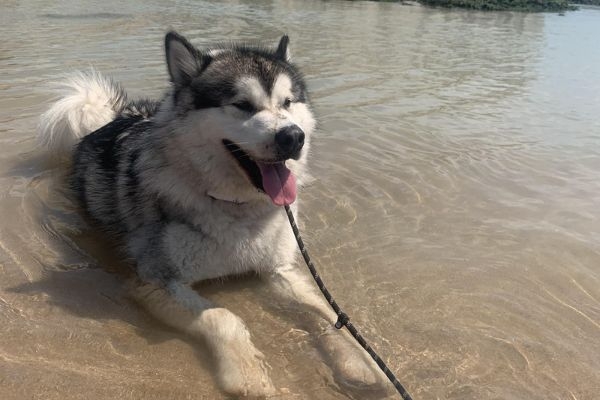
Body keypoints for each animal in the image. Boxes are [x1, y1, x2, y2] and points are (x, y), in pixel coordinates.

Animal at [38, 30, 384, 396]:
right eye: (242, 105)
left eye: (288, 103)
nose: (293, 136)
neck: (237, 207)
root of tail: (121, 116)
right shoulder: (153, 281)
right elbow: (223, 316)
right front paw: (248, 374)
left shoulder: (277, 270)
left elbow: (327, 312)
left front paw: (364, 361)